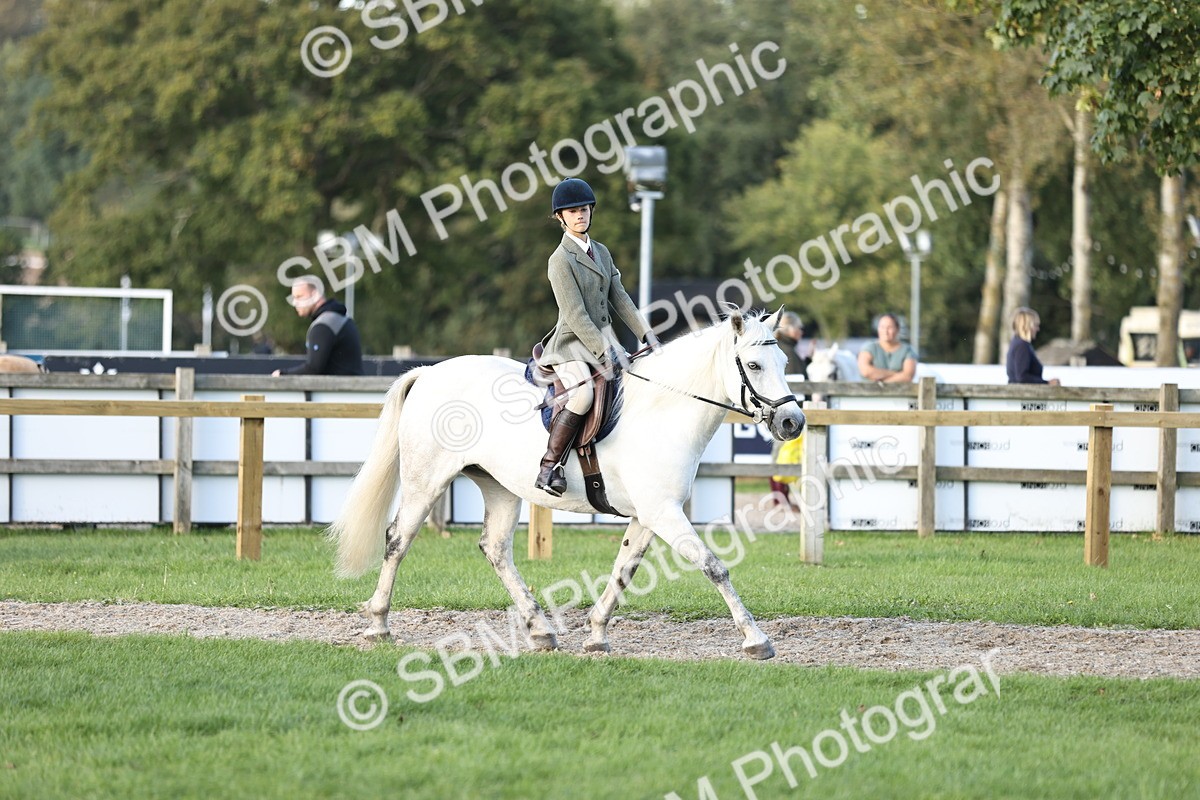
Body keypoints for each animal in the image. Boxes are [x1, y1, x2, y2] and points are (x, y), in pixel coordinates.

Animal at [329, 308, 806, 659]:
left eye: (784, 363)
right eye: (753, 364)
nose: (792, 421)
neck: (663, 410)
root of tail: (429, 372)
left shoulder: (649, 515)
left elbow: (623, 570)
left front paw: (596, 634)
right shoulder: (663, 513)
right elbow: (713, 566)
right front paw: (756, 640)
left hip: (500, 487)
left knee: (495, 548)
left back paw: (540, 630)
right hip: (425, 481)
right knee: (398, 539)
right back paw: (378, 625)